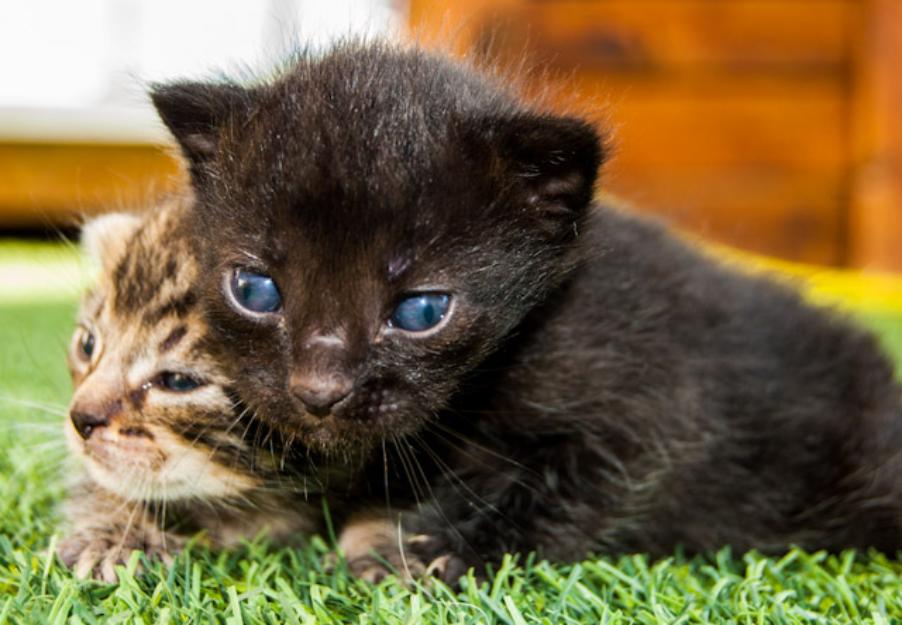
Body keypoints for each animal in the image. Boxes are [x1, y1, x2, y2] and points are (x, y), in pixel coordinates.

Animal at [150, 40, 902, 580]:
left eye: (422, 310)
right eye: (255, 290)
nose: (318, 390)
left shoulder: (652, 409)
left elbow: (573, 489)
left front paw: (445, 550)